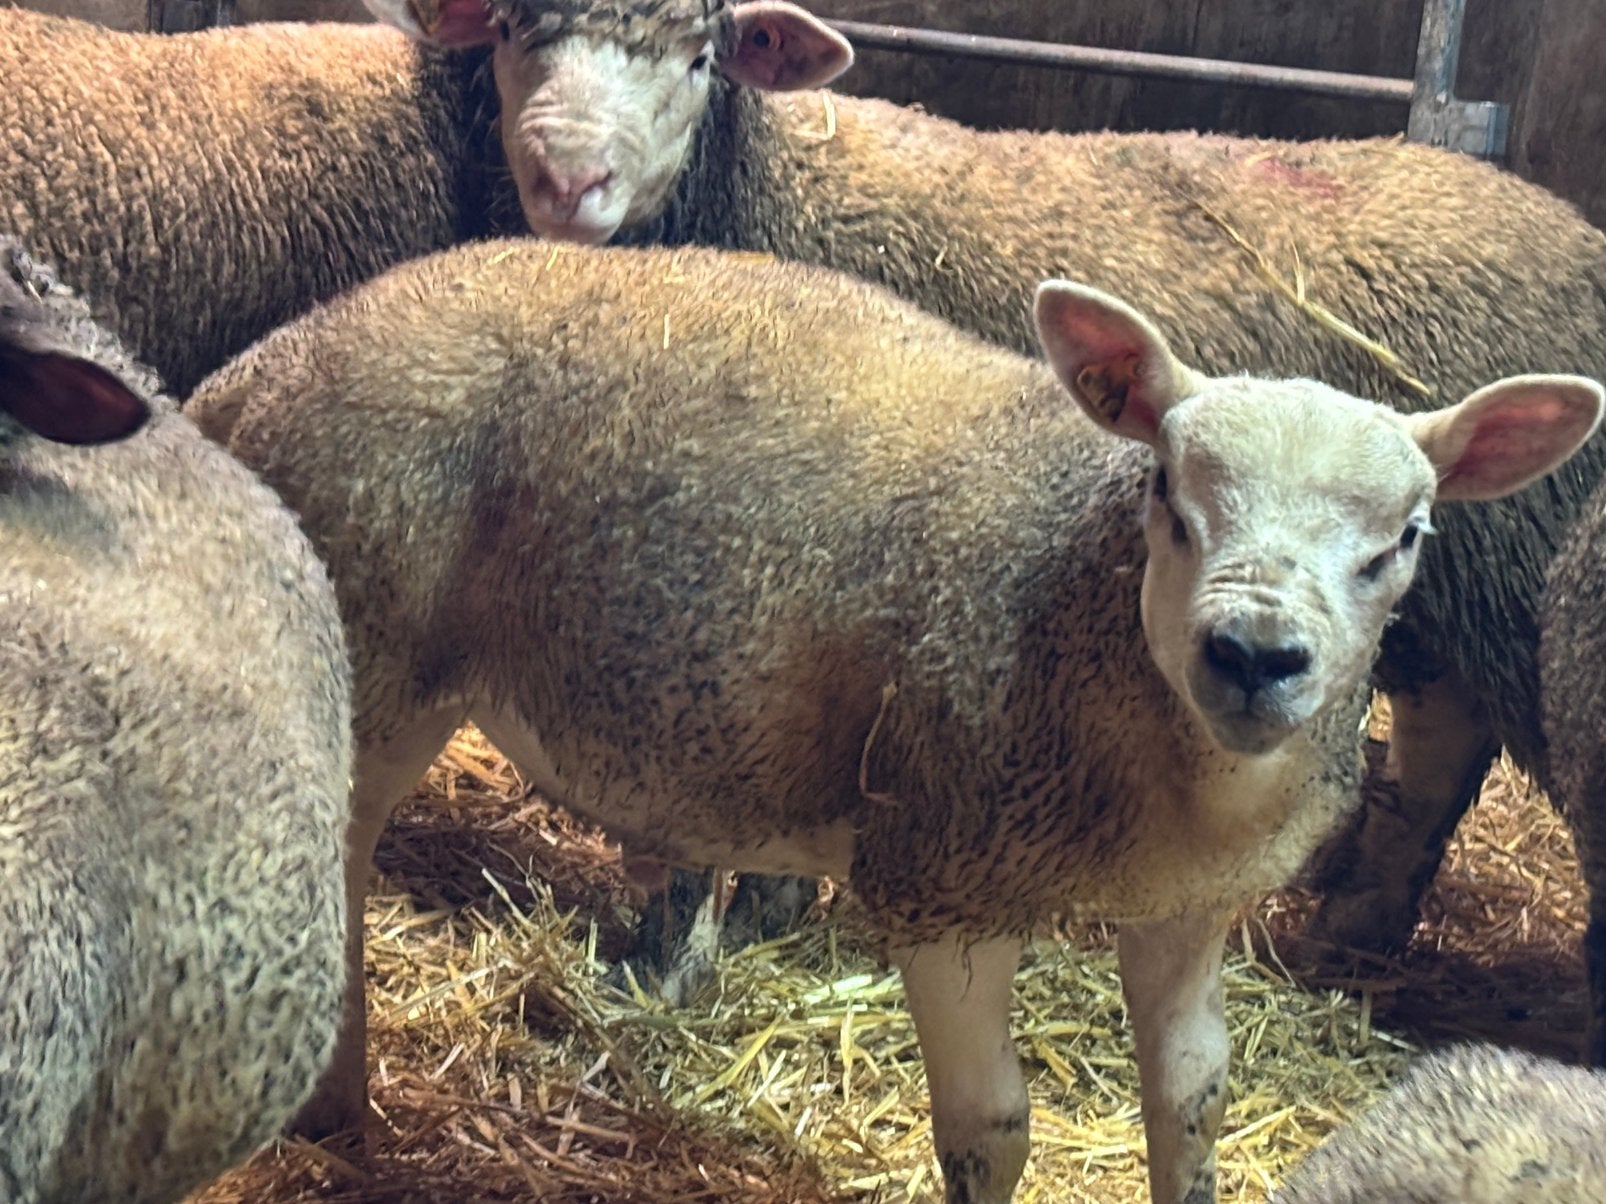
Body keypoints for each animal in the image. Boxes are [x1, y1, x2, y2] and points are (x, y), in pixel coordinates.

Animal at [366, 0, 1606, 983]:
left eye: (699, 53)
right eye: (513, 31)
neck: (783, 191)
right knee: (1443, 732)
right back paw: (1353, 926)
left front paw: (750, 911)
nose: (568, 179)